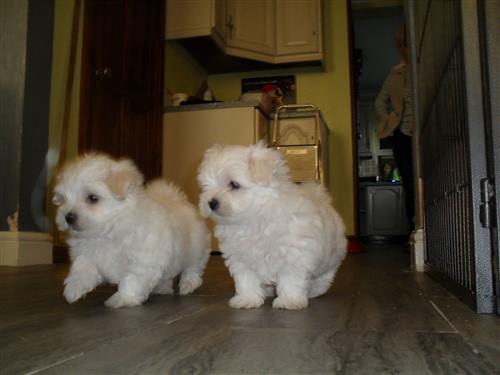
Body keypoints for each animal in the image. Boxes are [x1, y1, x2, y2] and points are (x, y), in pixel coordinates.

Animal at [53, 153, 210, 308]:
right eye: (63, 199)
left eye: (92, 198)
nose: (68, 217)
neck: (110, 231)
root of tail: (177, 200)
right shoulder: (88, 253)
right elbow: (82, 266)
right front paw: (74, 288)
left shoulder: (143, 259)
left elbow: (132, 279)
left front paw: (123, 298)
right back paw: (162, 288)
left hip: (196, 248)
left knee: (193, 266)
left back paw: (188, 284)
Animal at [197, 142, 346, 310]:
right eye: (207, 186)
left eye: (234, 184)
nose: (211, 202)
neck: (255, 217)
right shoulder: (241, 258)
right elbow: (246, 279)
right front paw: (247, 299)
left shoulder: (293, 254)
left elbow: (291, 279)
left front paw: (289, 300)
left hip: (331, 254)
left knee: (325, 274)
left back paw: (315, 290)